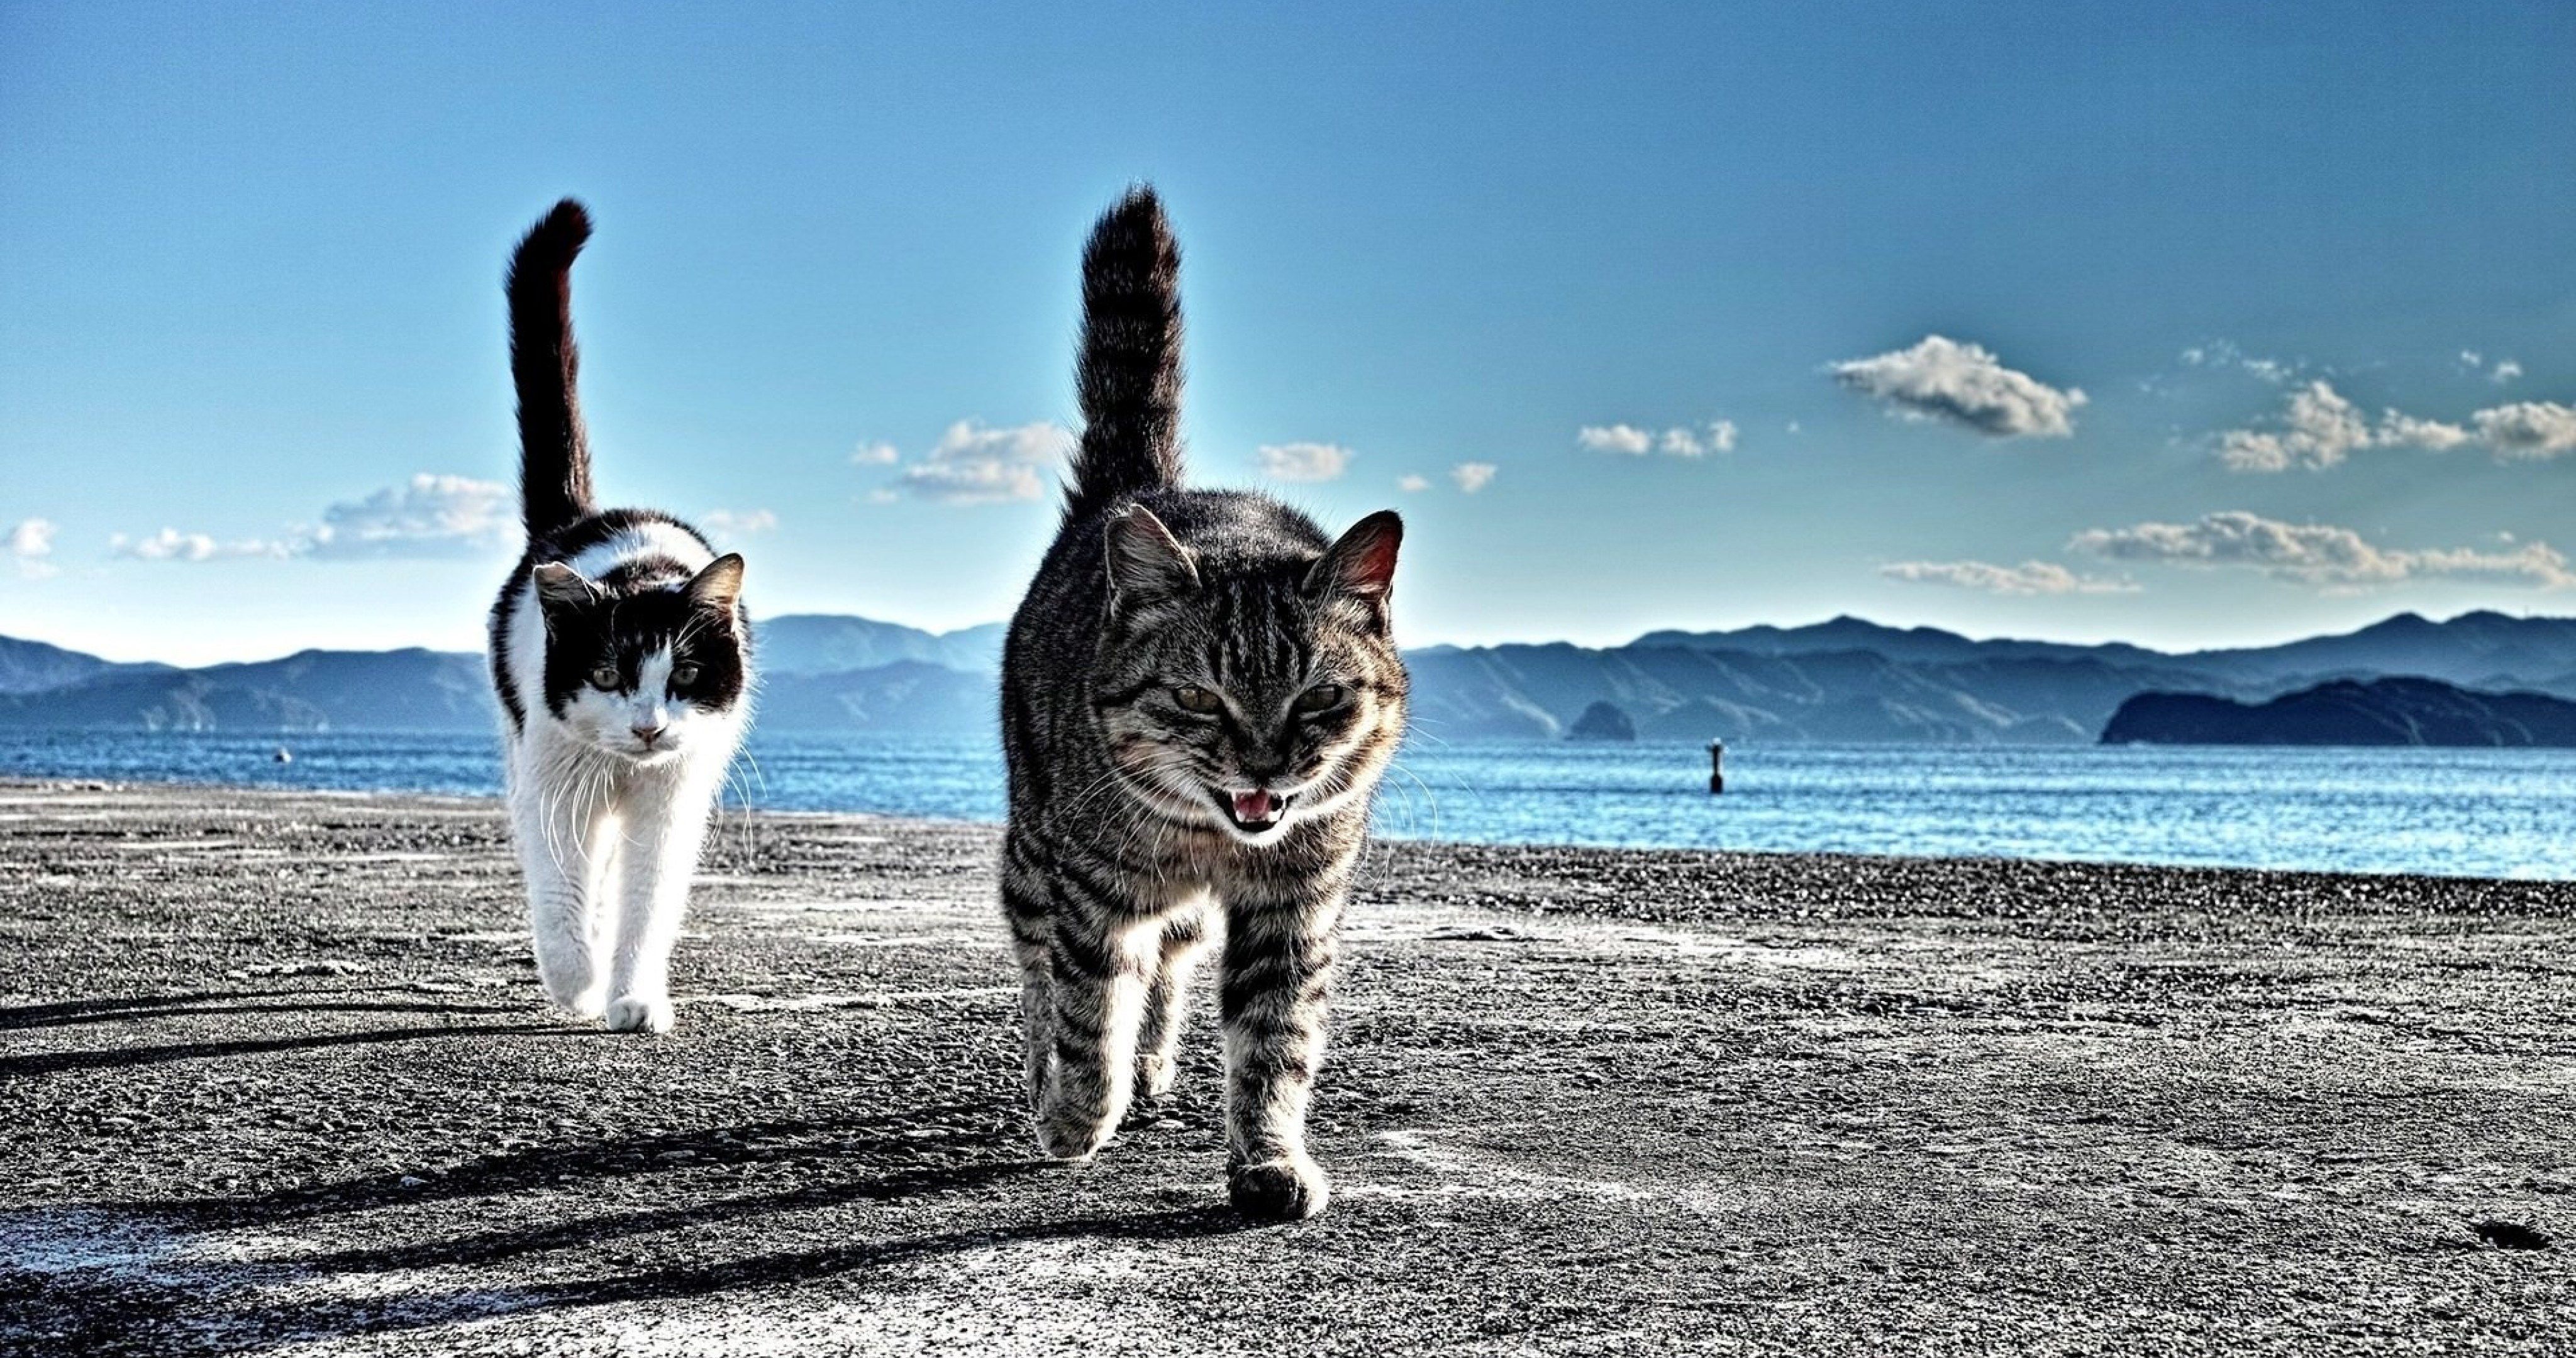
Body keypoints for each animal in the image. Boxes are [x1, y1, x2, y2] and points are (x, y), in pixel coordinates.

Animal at [487, 197, 752, 1035]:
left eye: (687, 674)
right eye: (606, 673)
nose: (647, 727)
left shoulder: (673, 802)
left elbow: (648, 903)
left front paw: (633, 995)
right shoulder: (552, 786)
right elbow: (562, 893)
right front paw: (577, 980)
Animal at [999, 188, 1411, 1221]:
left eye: (1320, 697)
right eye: (1196, 696)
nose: (1264, 763)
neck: (1211, 842)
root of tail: (1140, 488)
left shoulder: (1295, 903)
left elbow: (1275, 1039)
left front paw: (1268, 1157)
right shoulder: (1091, 890)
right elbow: (1084, 1008)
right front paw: (1075, 1114)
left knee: (1170, 964)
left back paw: (1153, 1066)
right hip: (1032, 847)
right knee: (1043, 967)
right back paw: (1055, 1078)